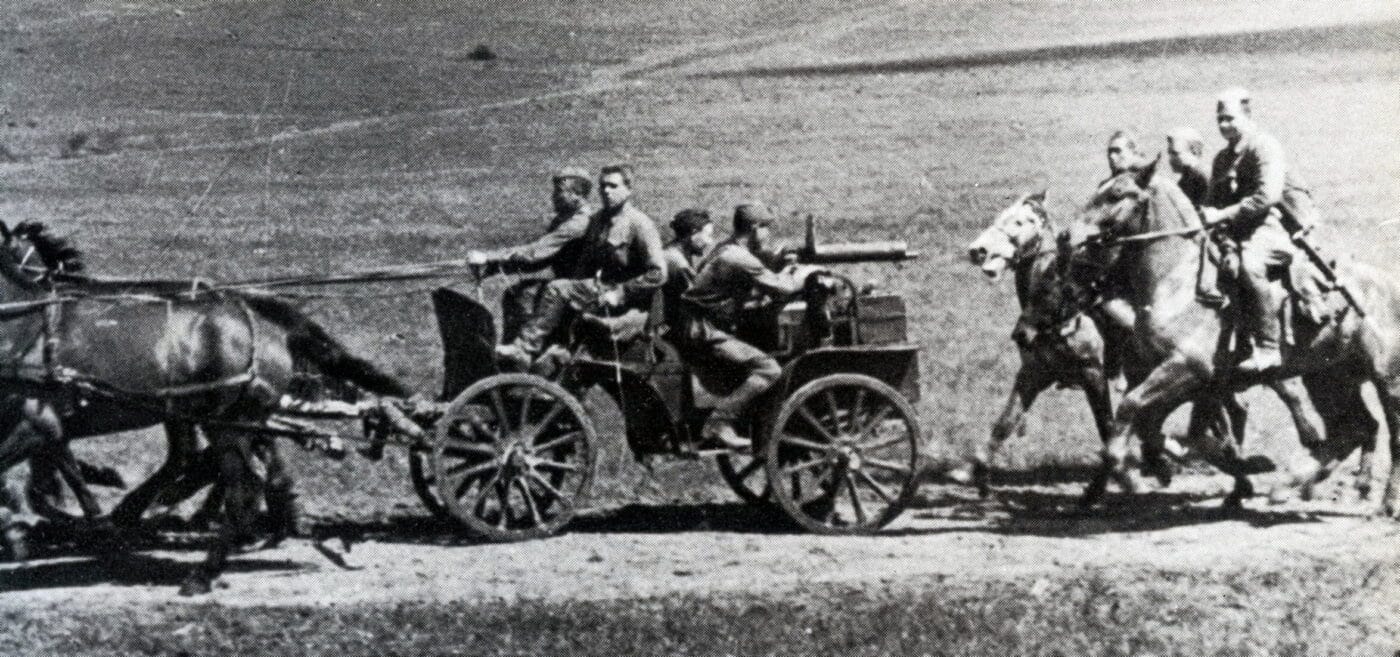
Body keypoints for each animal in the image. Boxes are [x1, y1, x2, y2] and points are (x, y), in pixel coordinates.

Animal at [0, 221, 408, 593]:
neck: (28, 326)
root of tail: (263, 321)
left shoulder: (38, 423)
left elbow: (39, 484)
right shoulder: (48, 429)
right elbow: (54, 483)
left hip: (223, 420)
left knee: (234, 484)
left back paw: (204, 565)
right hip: (210, 416)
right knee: (233, 469)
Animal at [1064, 161, 1394, 515]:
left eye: (1115, 194)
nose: (1067, 236)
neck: (1177, 282)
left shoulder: (1185, 371)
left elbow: (1132, 411)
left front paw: (1129, 474)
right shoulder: (1192, 383)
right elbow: (1162, 430)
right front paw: (1234, 470)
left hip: (1386, 380)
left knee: (1388, 433)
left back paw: (1384, 501)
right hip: (1329, 379)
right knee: (1354, 429)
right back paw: (1293, 485)